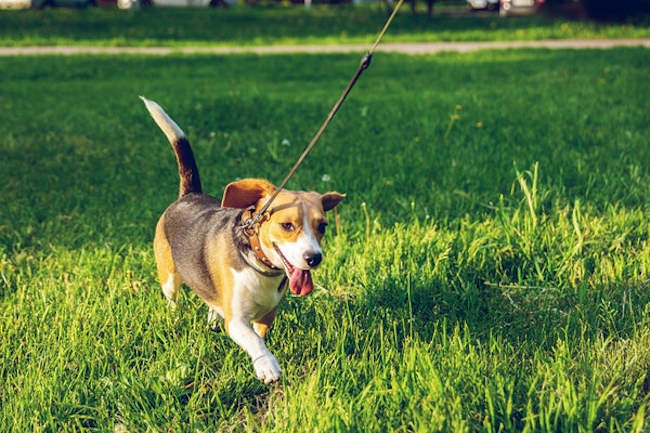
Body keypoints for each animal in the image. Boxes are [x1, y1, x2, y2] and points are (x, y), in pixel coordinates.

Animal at [140, 97, 344, 382]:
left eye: (322, 226)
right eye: (287, 225)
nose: (314, 258)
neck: (259, 265)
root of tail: (189, 195)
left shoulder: (268, 313)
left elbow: (259, 335)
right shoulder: (236, 320)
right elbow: (253, 340)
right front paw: (267, 365)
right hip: (168, 277)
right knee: (172, 298)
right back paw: (175, 316)